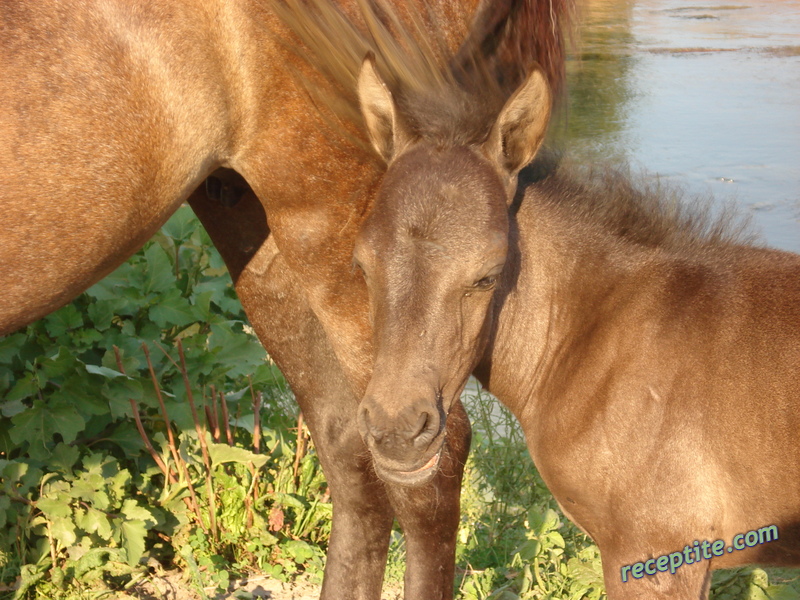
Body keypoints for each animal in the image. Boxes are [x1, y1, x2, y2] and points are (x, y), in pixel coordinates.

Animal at [0, 2, 576, 596]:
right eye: (366, 265)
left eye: (487, 277)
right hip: (260, 226)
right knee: (351, 449)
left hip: (321, 210)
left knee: (428, 464)